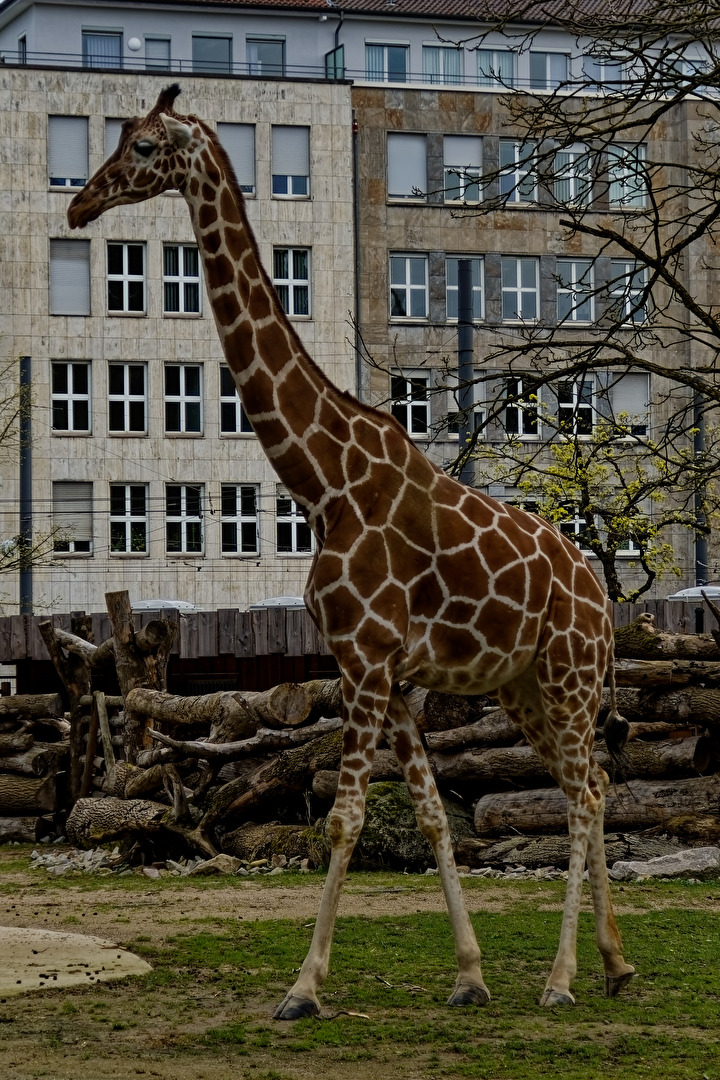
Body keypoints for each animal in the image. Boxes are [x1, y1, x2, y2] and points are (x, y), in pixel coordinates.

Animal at [68, 85, 635, 1019]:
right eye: (115, 137)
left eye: (144, 146)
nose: (80, 204)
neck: (323, 482)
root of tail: (599, 592)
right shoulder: (389, 675)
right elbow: (433, 815)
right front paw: (470, 975)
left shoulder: (366, 662)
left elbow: (344, 818)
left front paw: (303, 986)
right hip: (523, 686)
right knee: (585, 784)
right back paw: (615, 962)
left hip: (569, 673)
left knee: (586, 793)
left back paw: (562, 980)